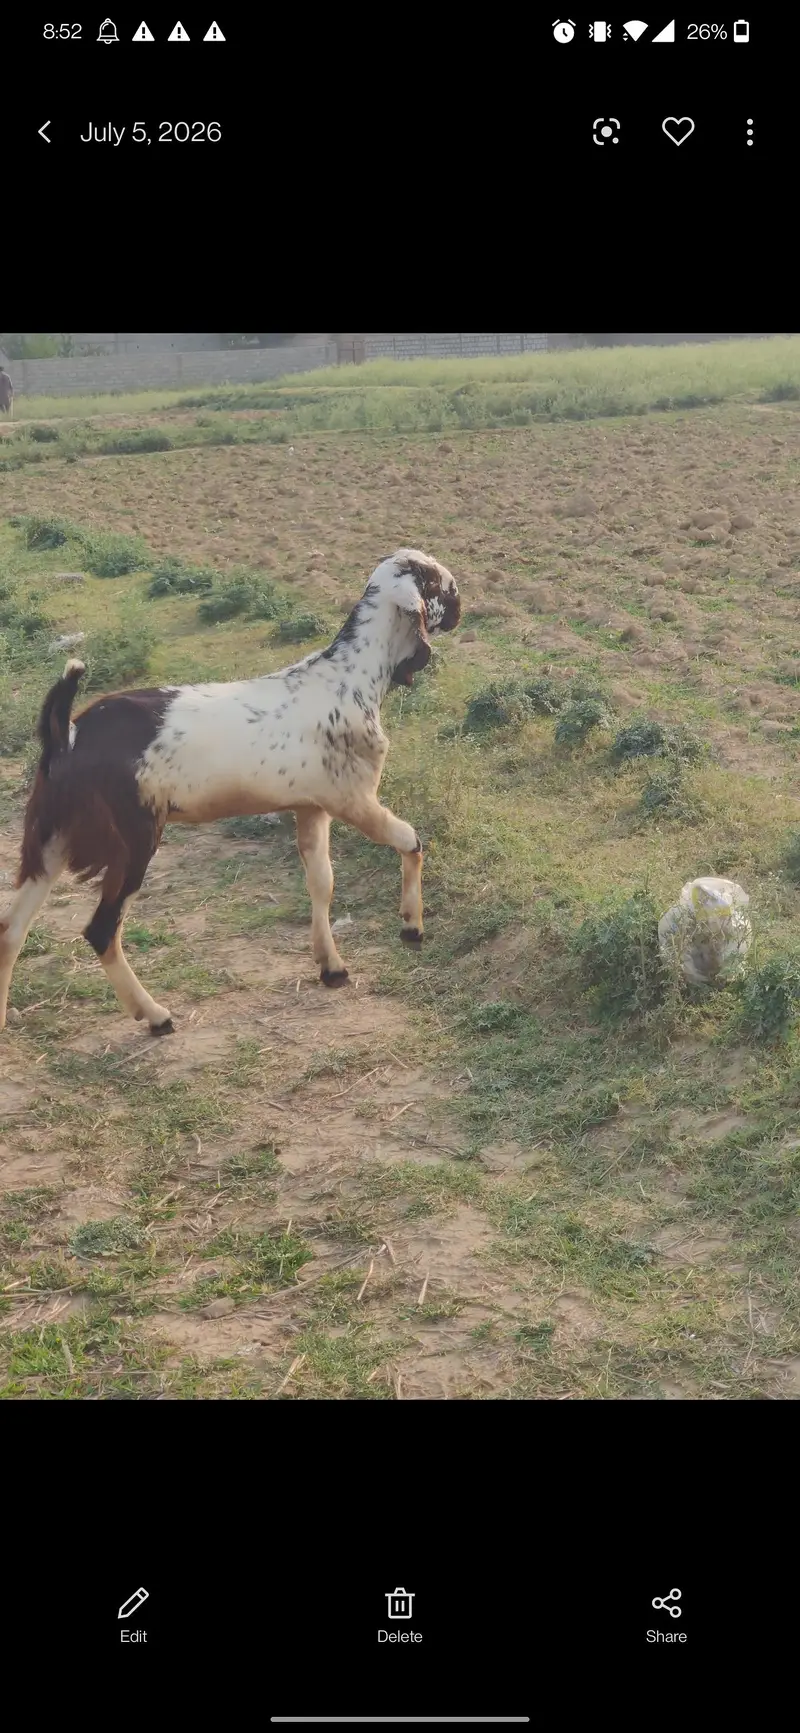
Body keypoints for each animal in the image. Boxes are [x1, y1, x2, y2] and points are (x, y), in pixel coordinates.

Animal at [0, 549, 460, 1035]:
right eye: (438, 583)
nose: (462, 606)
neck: (349, 678)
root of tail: (67, 736)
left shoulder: (311, 806)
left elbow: (322, 882)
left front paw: (331, 966)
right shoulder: (354, 799)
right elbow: (411, 841)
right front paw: (412, 927)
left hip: (50, 837)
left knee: (10, 929)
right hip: (131, 838)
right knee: (101, 930)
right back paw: (156, 1015)